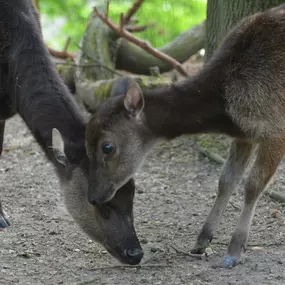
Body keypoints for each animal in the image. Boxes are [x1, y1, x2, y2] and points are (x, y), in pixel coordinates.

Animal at [85, 3, 285, 266]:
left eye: (107, 147)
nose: (93, 197)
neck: (225, 109)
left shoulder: (275, 129)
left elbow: (252, 185)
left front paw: (233, 251)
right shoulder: (245, 135)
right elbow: (226, 180)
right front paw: (201, 242)